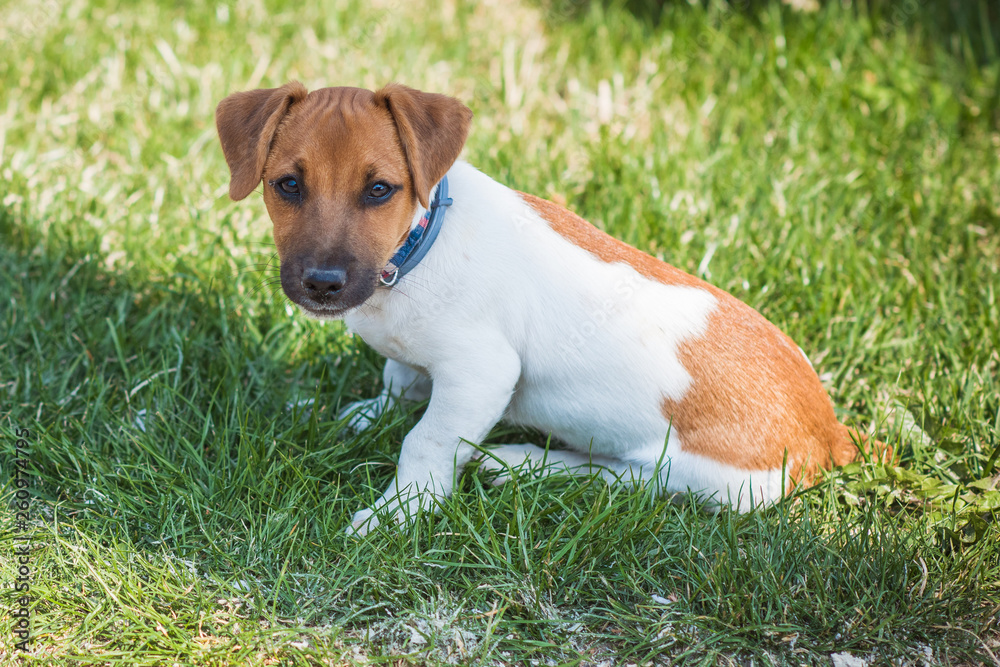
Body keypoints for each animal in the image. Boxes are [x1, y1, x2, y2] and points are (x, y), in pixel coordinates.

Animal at [215, 81, 888, 536]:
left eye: (379, 189)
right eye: (287, 185)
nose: (322, 284)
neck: (414, 252)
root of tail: (830, 432)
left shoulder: (482, 373)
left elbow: (424, 440)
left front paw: (398, 512)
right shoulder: (416, 360)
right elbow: (399, 382)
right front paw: (363, 415)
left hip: (708, 480)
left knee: (622, 477)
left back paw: (520, 463)